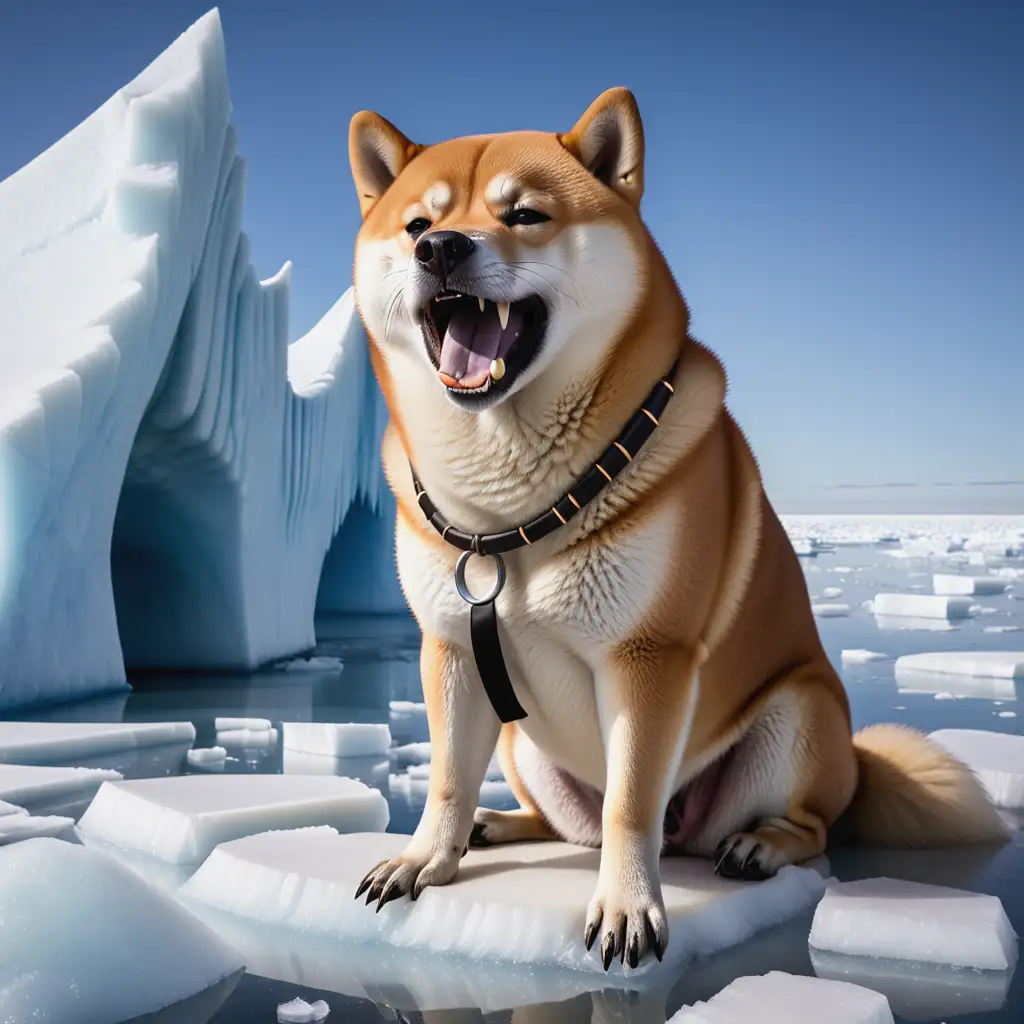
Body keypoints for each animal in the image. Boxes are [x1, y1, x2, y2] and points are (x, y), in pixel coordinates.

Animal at [346, 86, 1007, 966]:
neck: (511, 519)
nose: (441, 250)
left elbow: (631, 804)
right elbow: (450, 778)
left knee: (801, 825)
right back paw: (499, 824)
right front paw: (424, 860)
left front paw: (628, 910)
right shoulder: (452, 647)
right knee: (573, 827)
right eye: (417, 224)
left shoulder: (648, 656)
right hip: (525, 743)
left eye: (524, 215)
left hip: (801, 712)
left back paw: (761, 843)